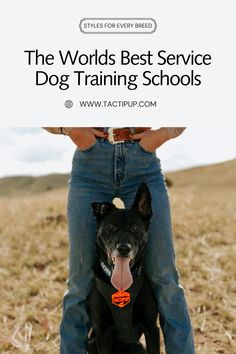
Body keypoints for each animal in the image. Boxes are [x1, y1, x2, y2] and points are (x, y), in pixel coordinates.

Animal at [88, 184, 160, 352]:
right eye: (111, 227)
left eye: (135, 228)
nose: (123, 249)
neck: (121, 287)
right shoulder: (102, 333)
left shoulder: (152, 328)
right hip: (91, 343)